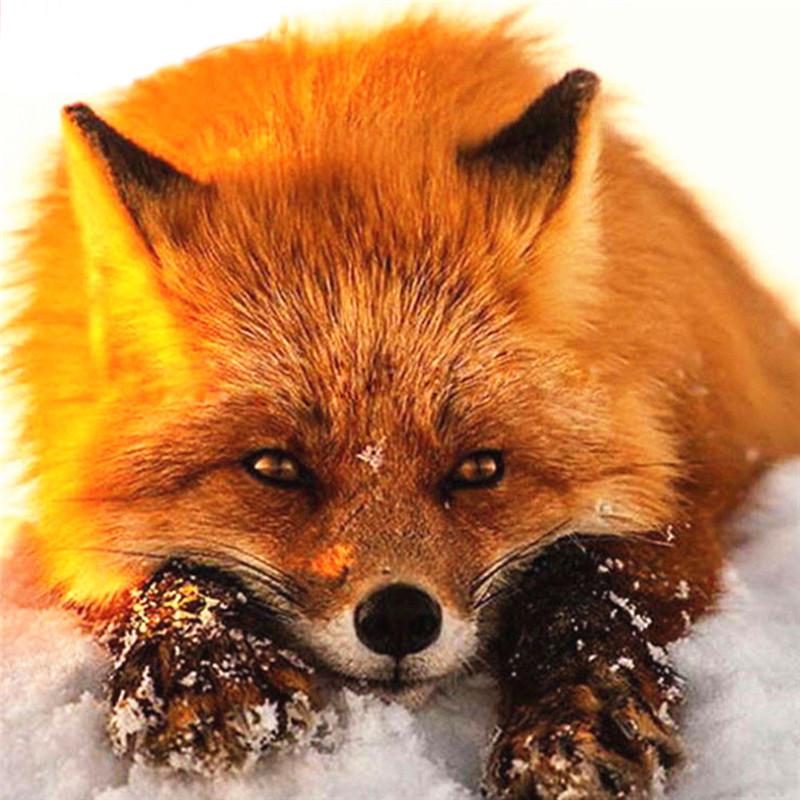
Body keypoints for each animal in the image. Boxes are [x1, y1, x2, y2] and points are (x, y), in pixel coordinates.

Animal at [10, 12, 800, 799]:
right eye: (275, 468)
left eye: (479, 469)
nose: (397, 619)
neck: (339, 118)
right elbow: (168, 574)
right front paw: (206, 669)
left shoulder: (687, 492)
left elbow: (591, 585)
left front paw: (575, 721)